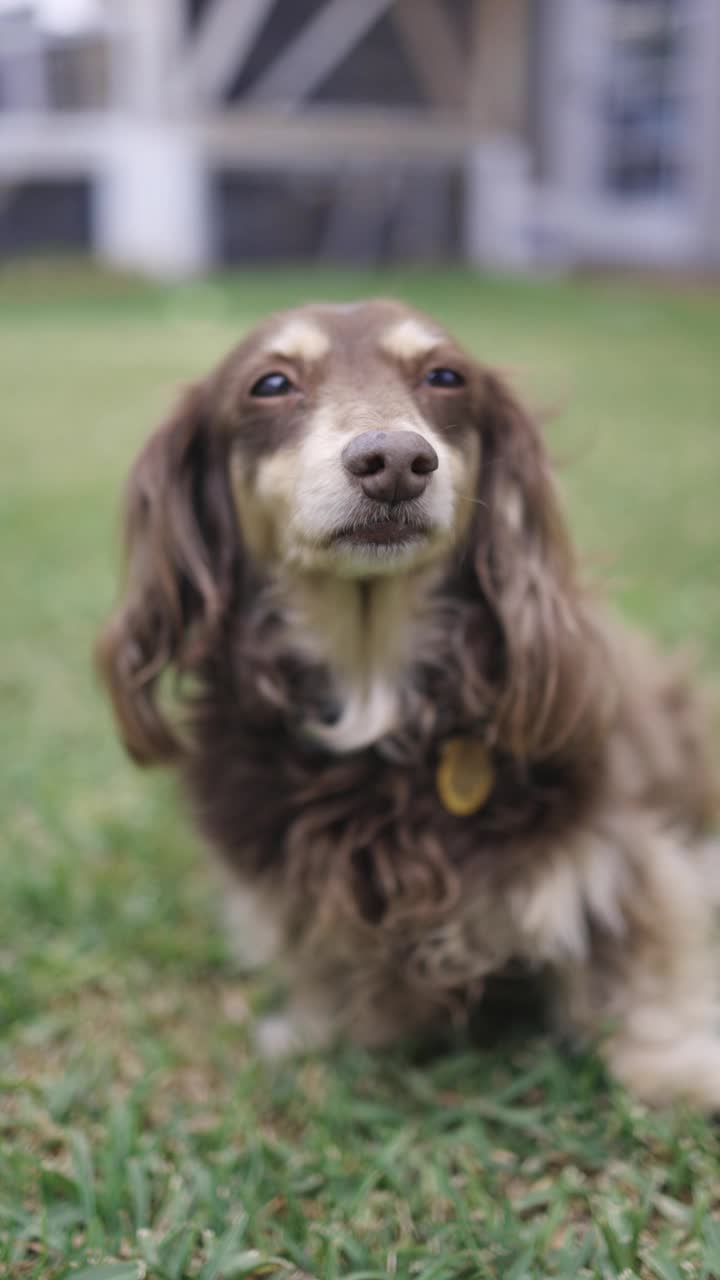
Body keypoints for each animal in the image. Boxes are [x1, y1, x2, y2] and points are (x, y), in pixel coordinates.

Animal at [96, 302, 717, 1111]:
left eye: (445, 375)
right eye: (271, 383)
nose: (394, 460)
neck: (373, 692)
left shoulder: (619, 846)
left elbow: (642, 960)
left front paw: (674, 1062)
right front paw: (318, 1026)